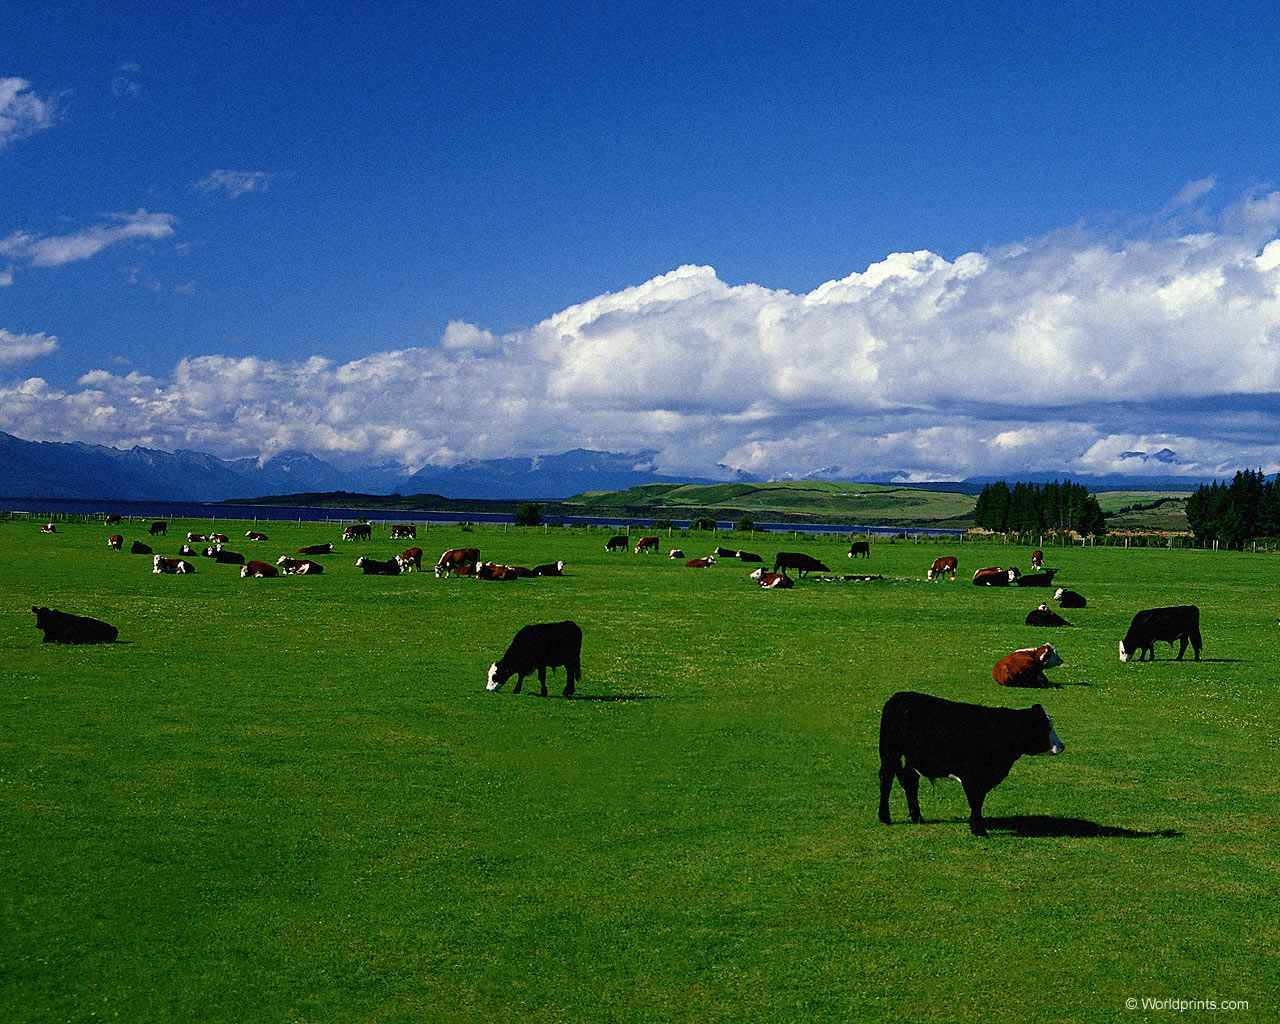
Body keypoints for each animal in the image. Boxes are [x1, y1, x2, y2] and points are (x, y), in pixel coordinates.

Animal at [875, 686, 1064, 839]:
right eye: (1046, 728)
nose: (1061, 746)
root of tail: (899, 696)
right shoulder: (971, 776)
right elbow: (975, 801)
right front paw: (979, 830)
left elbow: (978, 801)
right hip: (889, 751)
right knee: (886, 779)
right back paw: (884, 817)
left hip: (912, 757)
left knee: (910, 781)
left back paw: (917, 817)